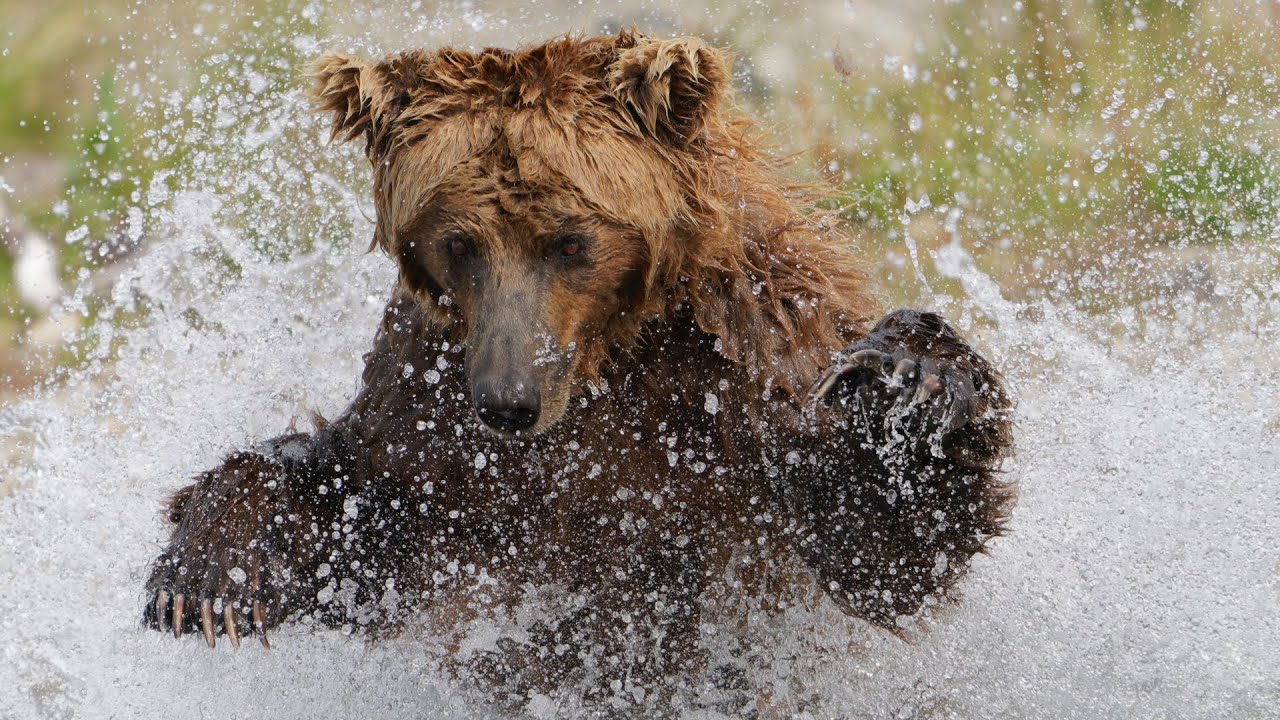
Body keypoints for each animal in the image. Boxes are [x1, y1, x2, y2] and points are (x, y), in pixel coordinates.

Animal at [142, 30, 1014, 717]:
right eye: (459, 241)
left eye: (569, 240)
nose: (508, 401)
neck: (604, 366)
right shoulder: (431, 415)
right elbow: (362, 522)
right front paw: (208, 576)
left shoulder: (755, 375)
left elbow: (880, 549)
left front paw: (911, 376)